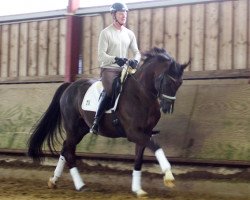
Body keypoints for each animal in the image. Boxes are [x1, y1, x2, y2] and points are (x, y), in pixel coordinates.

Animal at [27, 46, 189, 197]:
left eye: (180, 83)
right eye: (167, 81)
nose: (167, 108)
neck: (141, 95)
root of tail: (70, 85)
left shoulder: (144, 133)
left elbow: (139, 160)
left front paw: (138, 189)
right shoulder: (134, 133)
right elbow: (157, 147)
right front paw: (169, 176)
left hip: (80, 130)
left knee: (66, 148)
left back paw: (54, 180)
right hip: (72, 128)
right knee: (68, 151)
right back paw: (80, 185)